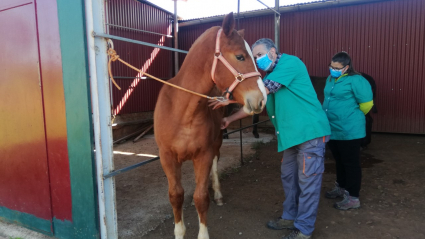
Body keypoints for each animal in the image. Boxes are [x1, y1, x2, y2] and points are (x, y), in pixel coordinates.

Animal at [152, 12, 264, 239]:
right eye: (240, 56)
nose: (261, 98)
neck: (183, 112)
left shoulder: (203, 155)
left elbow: (201, 197)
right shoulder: (167, 157)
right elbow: (176, 195)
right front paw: (179, 231)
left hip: (217, 142)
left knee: (215, 164)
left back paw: (218, 194)